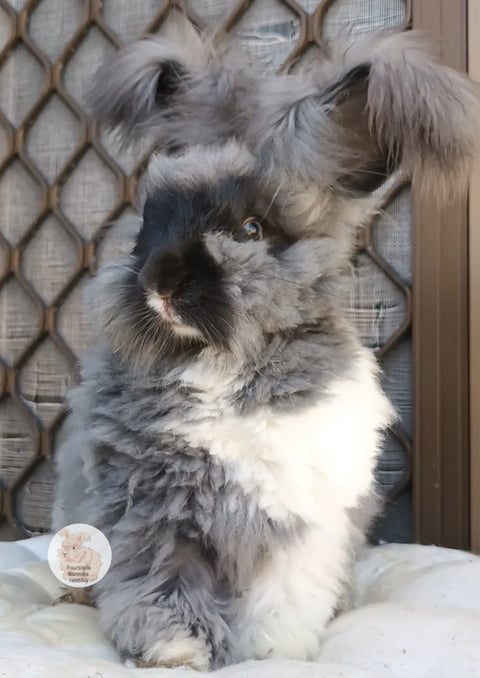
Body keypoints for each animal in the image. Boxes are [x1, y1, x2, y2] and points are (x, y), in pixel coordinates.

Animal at [52, 23, 480, 672]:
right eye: (149, 222)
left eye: (252, 229)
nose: (161, 283)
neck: (220, 365)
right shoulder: (151, 511)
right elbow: (162, 581)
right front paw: (176, 650)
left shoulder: (299, 520)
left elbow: (282, 595)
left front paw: (271, 652)